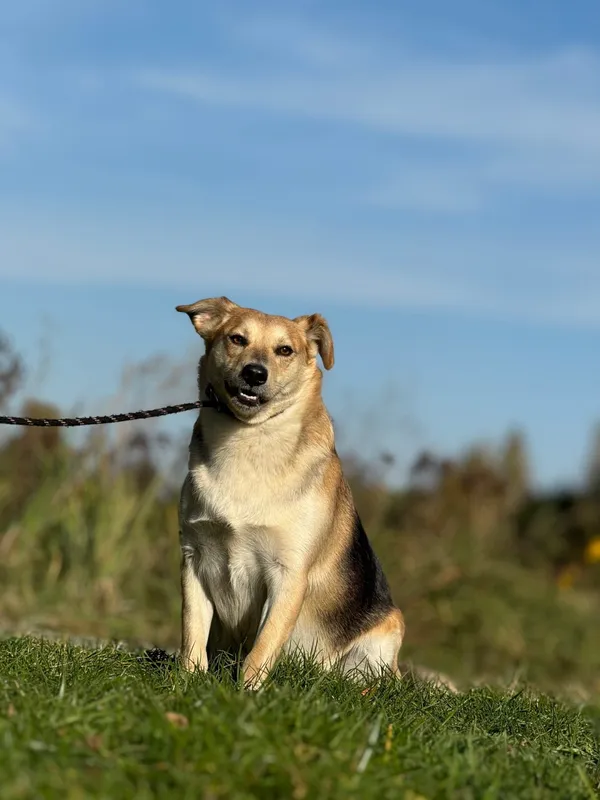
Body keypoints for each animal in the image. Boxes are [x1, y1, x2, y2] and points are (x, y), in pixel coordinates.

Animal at [176, 296, 406, 688]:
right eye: (237, 339)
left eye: (285, 350)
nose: (255, 373)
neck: (248, 440)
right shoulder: (195, 559)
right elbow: (193, 631)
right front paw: (187, 681)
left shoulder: (288, 574)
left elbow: (264, 645)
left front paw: (247, 692)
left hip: (384, 636)